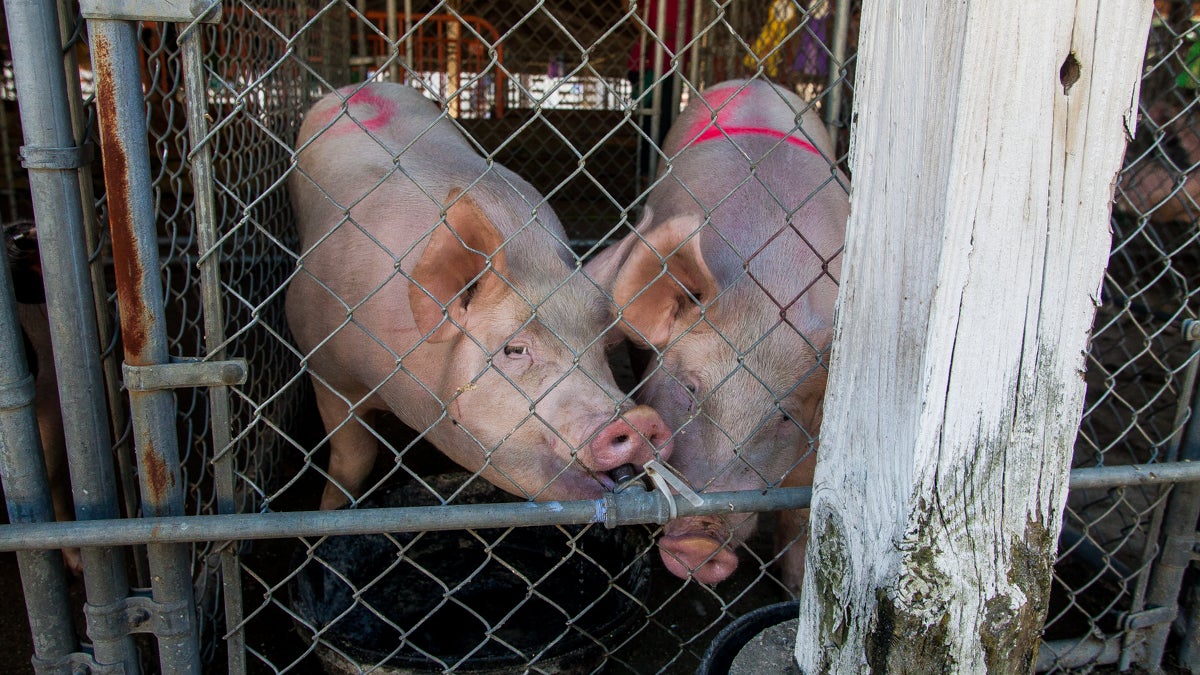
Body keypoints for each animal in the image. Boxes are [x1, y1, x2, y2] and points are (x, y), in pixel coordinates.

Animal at [285, 82, 672, 504]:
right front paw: (332, 507)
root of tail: (361, 86)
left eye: (602, 350)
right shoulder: (325, 368)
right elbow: (351, 461)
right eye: (514, 350)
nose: (638, 420)